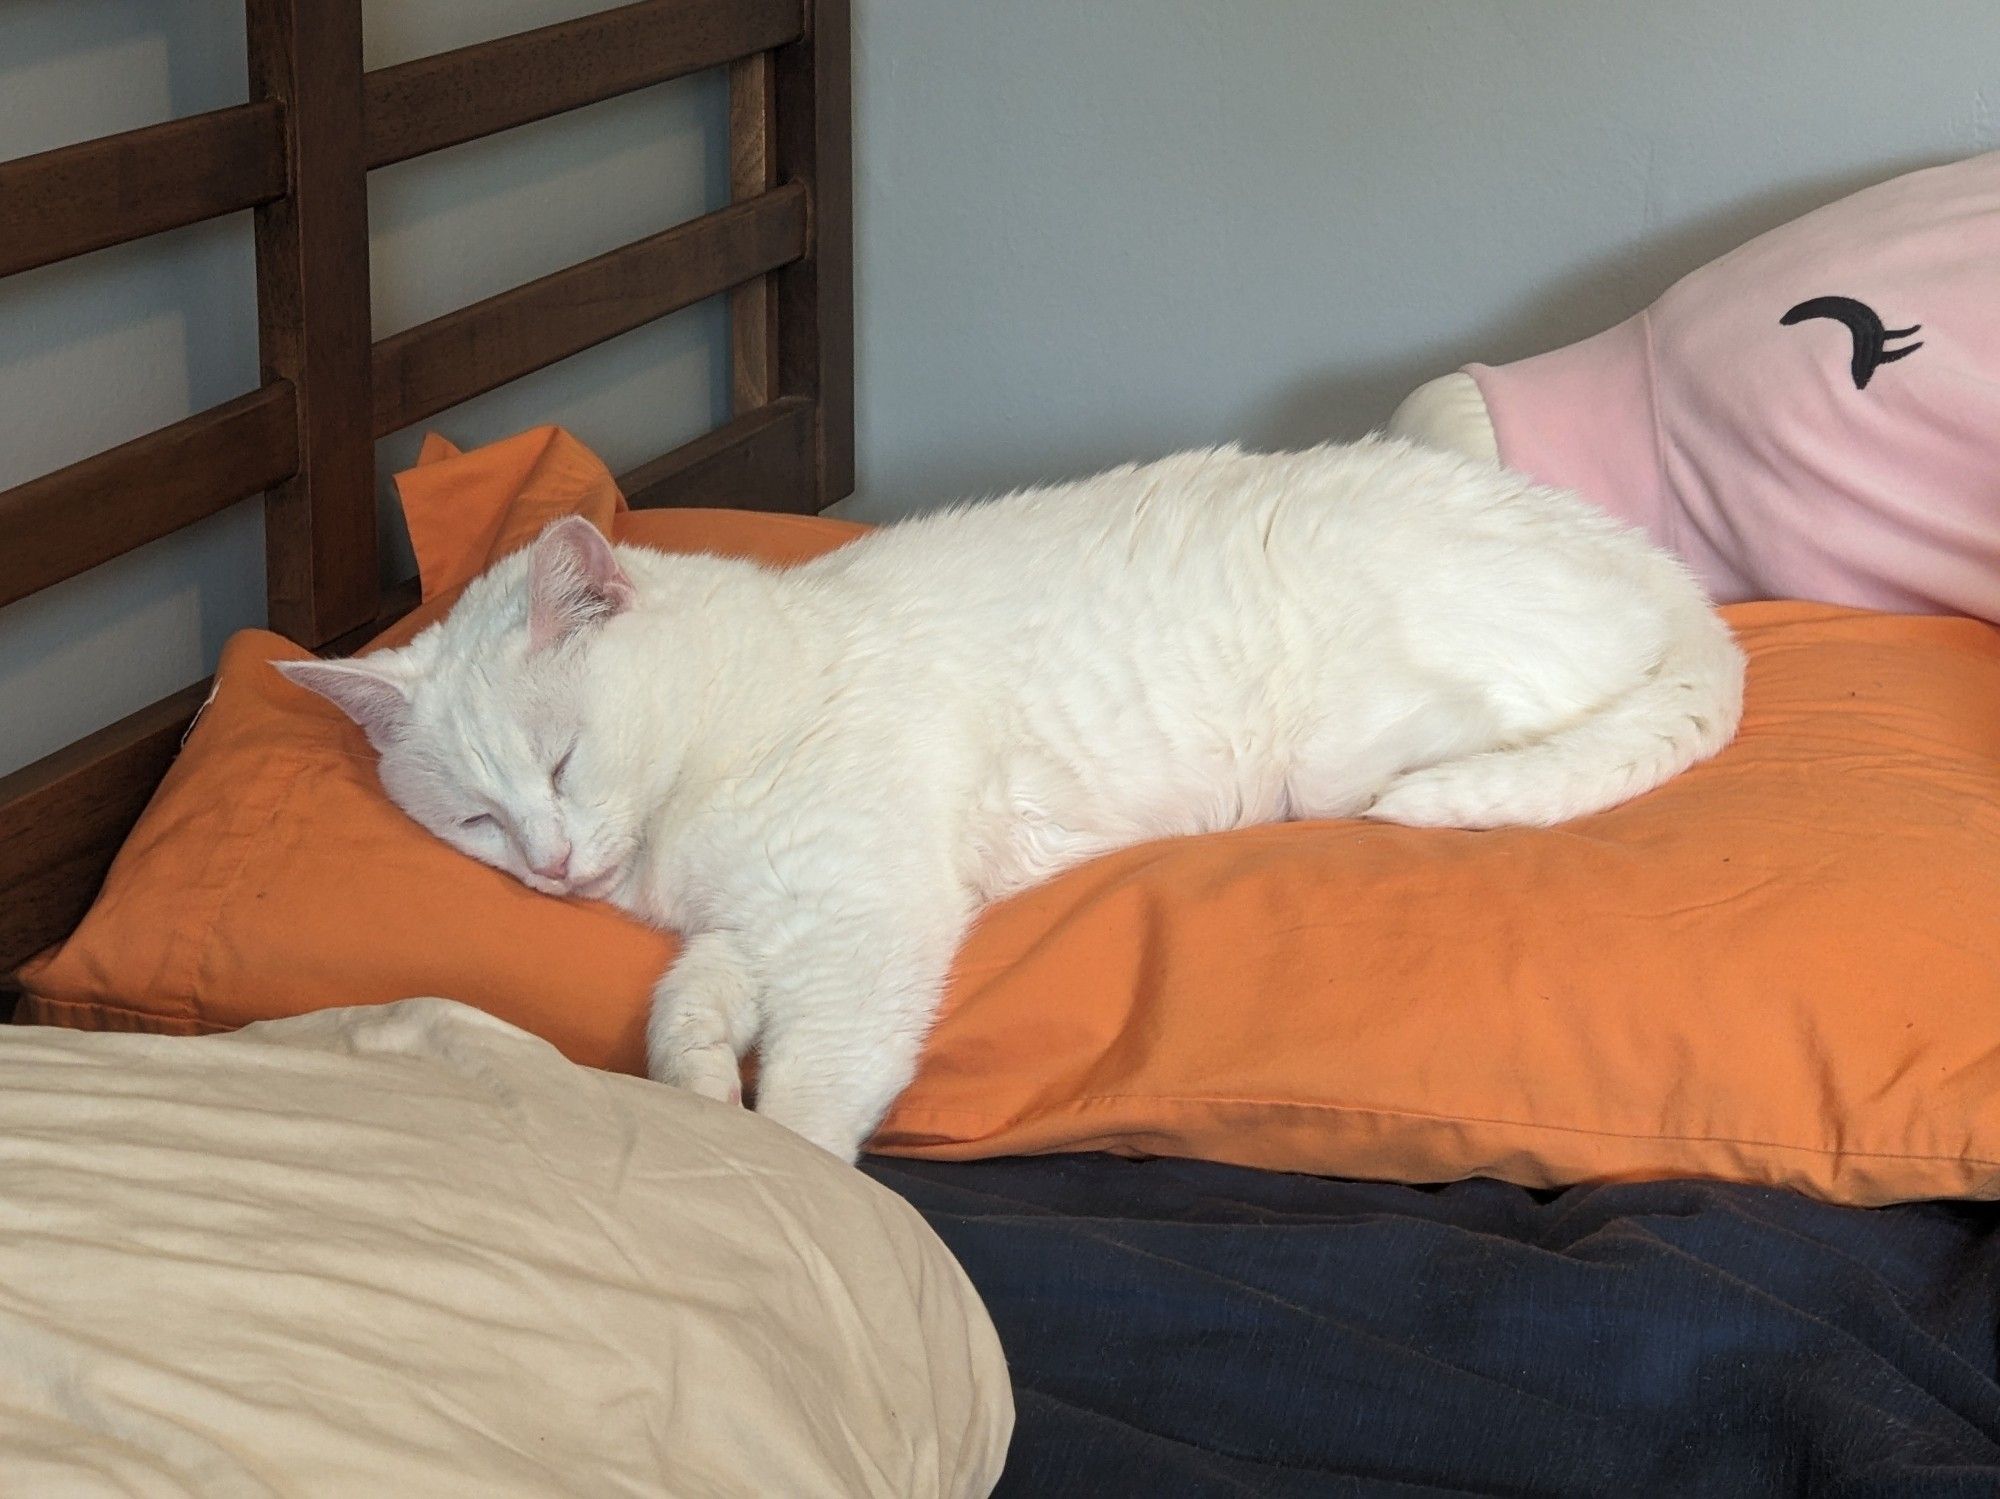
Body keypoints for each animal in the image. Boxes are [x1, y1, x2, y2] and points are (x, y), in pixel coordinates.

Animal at [274, 439, 1744, 1167]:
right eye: (476, 818)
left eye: (563, 762)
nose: (553, 864)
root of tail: (1660, 572)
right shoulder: (756, 929)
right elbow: (683, 1006)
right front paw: (694, 1087)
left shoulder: (858, 925)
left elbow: (812, 1084)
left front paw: (792, 1170)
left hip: (1353, 743)